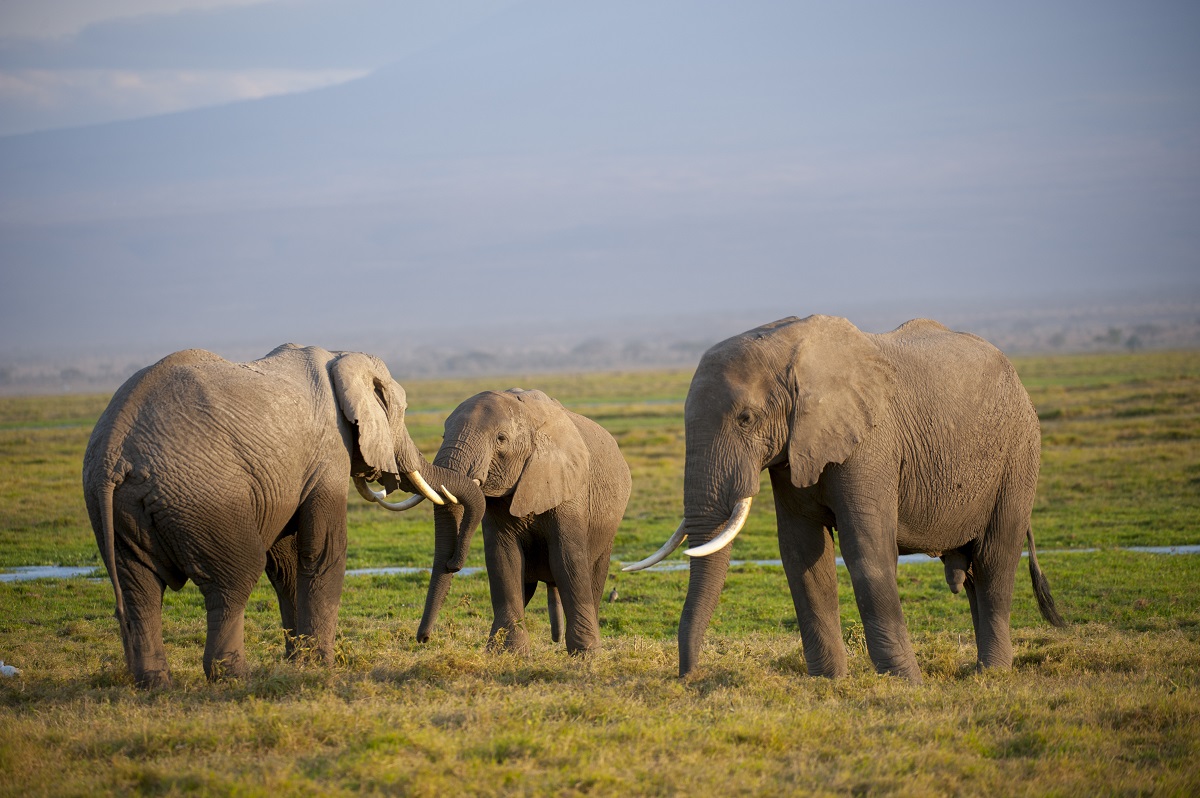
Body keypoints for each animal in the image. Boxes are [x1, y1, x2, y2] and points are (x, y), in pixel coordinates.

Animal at [76, 343, 472, 686]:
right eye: (402, 412)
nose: (422, 641)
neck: (341, 355)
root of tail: (113, 452)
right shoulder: (330, 451)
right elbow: (323, 550)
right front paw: (321, 666)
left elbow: (287, 562)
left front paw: (299, 662)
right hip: (201, 497)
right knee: (233, 580)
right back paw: (234, 678)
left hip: (119, 510)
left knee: (139, 591)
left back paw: (154, 685)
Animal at [417, 386, 633, 652]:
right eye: (443, 434)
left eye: (500, 439)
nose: (423, 639)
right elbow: (504, 557)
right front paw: (508, 652)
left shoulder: (570, 487)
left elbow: (567, 559)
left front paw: (586, 653)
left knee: (594, 577)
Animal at [624, 314, 1065, 681]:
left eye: (746, 419)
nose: (686, 677)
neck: (789, 348)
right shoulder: (795, 449)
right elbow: (802, 554)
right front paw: (829, 681)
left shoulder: (871, 445)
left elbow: (866, 551)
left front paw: (905, 683)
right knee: (974, 573)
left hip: (1020, 454)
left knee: (995, 560)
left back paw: (990, 674)